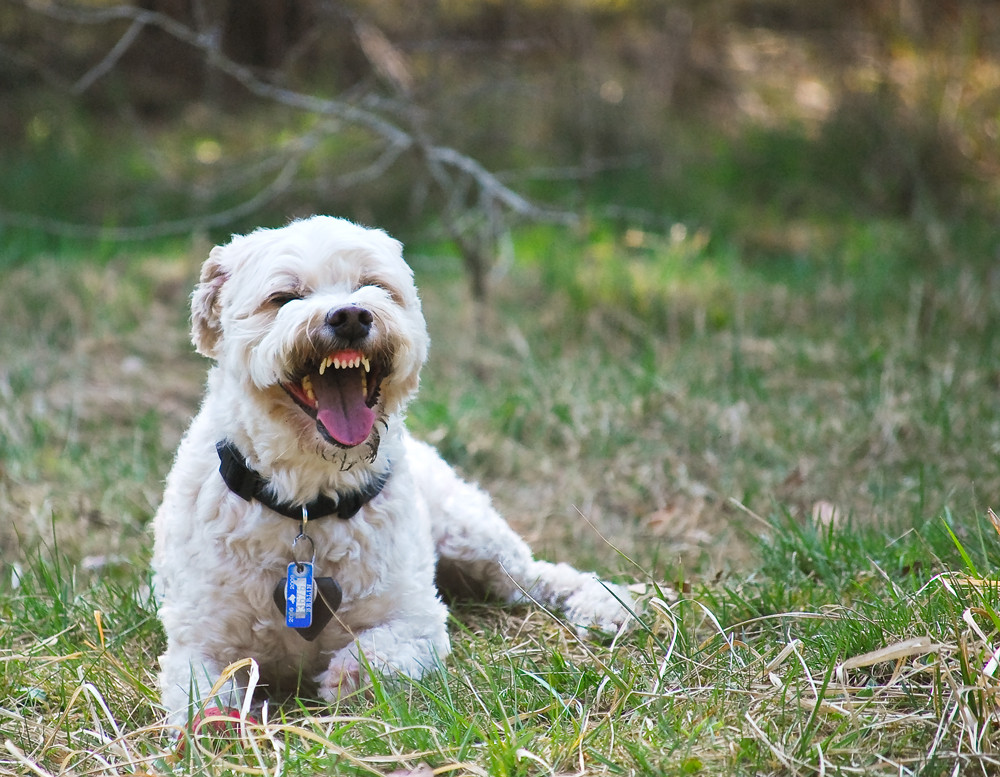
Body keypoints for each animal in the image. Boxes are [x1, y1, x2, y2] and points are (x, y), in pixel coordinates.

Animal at [152, 215, 628, 724]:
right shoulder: (198, 642)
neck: (307, 503)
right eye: (283, 298)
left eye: (374, 287)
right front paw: (219, 721)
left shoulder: (417, 621)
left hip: (469, 534)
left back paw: (605, 605)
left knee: (537, 574)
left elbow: (374, 653)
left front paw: (344, 678)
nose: (350, 315)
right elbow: (203, 695)